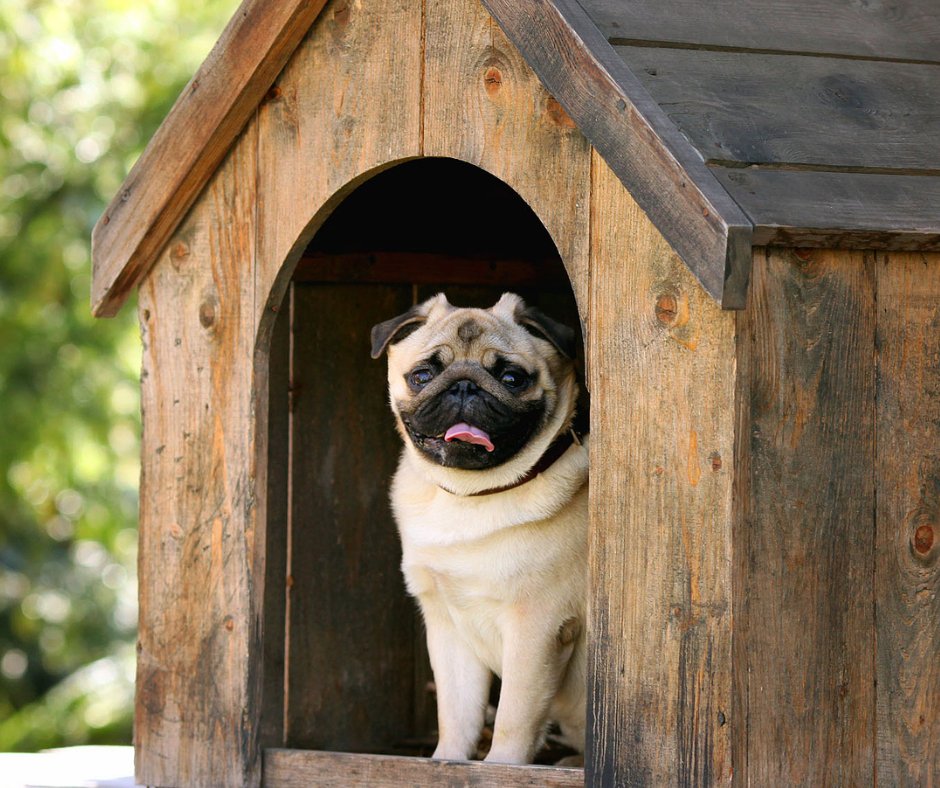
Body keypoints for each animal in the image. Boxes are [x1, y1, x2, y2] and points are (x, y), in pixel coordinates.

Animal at [370, 290, 584, 764]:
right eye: (422, 376)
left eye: (511, 378)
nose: (464, 385)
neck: (470, 496)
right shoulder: (448, 629)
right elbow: (457, 713)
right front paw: (447, 762)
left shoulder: (536, 628)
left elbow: (513, 717)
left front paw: (502, 768)